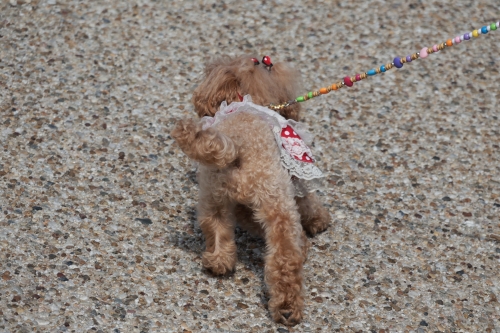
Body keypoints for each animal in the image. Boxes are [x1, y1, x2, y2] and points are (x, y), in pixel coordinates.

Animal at [172, 55, 332, 324]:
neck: (242, 99)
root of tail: (237, 149)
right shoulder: (294, 176)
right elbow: (308, 201)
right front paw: (318, 220)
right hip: (277, 200)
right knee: (284, 257)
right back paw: (287, 306)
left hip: (214, 195)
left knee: (219, 226)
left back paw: (219, 261)